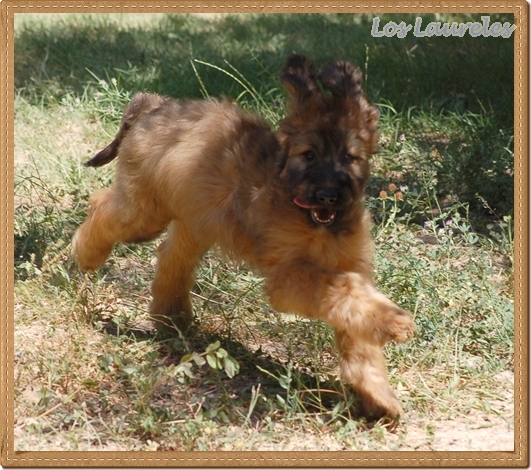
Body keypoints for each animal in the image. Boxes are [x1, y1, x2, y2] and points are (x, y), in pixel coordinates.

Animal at [72, 55, 418, 418]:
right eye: (309, 154)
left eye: (350, 157)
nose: (327, 196)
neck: (317, 224)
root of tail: (155, 104)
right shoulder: (289, 277)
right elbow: (344, 290)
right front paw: (395, 322)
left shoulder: (352, 267)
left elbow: (358, 328)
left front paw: (377, 393)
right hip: (145, 214)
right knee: (101, 205)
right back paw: (85, 255)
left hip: (193, 222)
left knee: (170, 257)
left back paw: (172, 318)